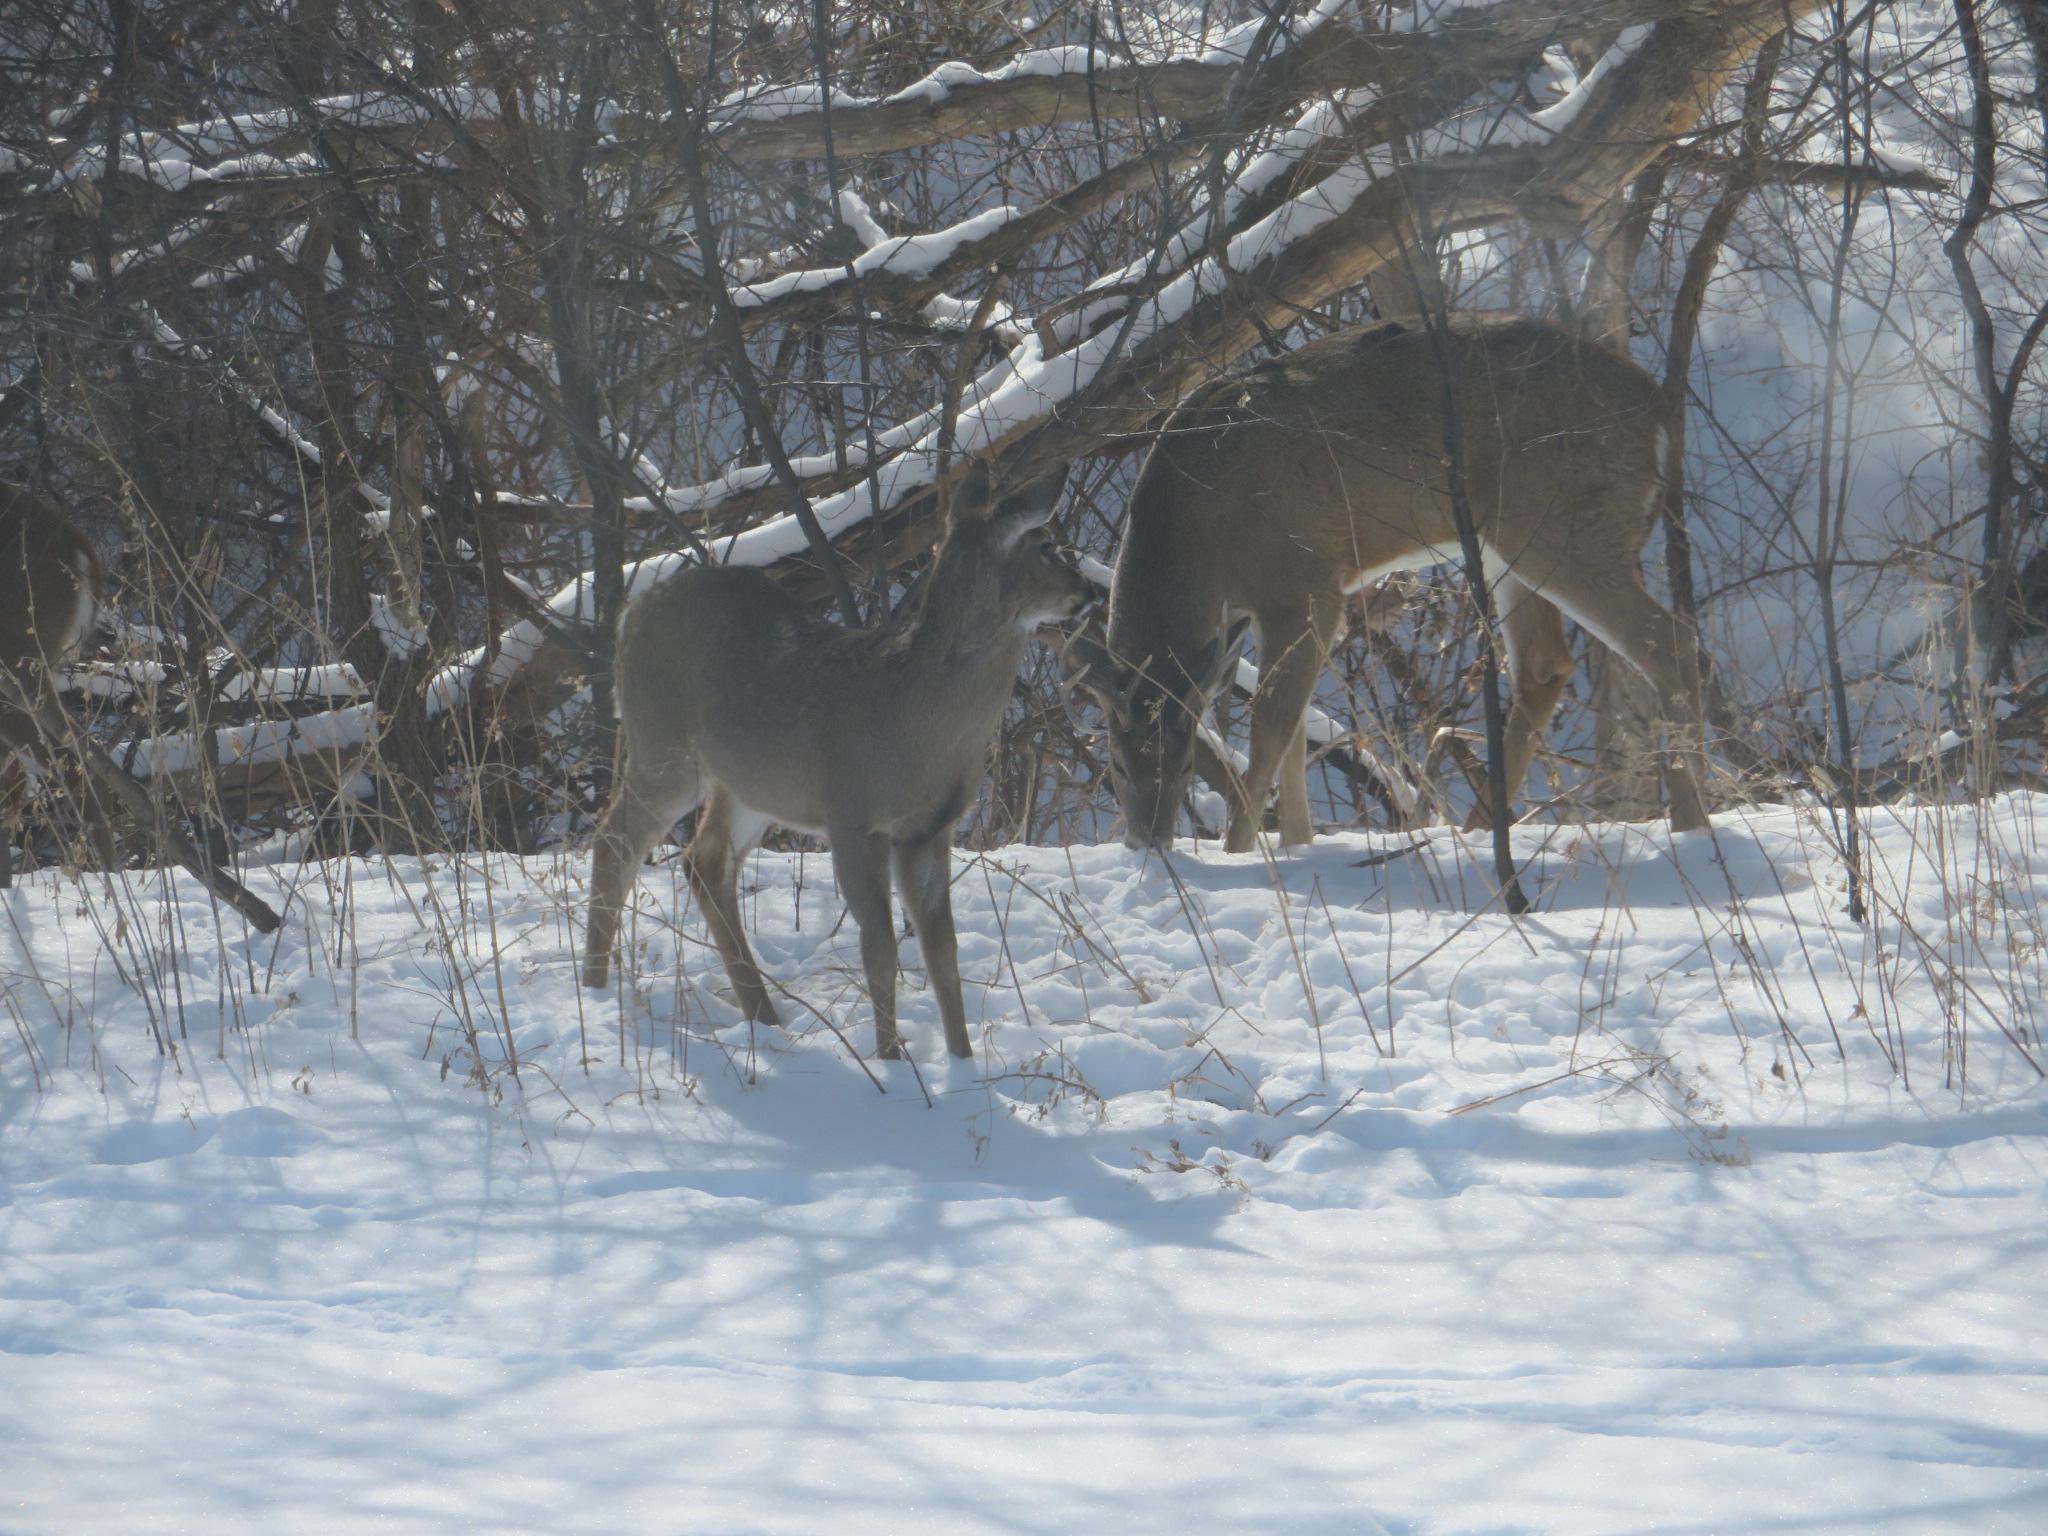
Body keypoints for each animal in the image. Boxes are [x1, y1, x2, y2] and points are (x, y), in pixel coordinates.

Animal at [582, 461, 1092, 1062]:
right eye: (1045, 544)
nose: (1086, 591)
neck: (917, 717)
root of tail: (629, 614)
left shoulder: (929, 829)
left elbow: (942, 947)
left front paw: (962, 1059)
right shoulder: (852, 814)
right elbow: (880, 945)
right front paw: (892, 1058)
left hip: (749, 783)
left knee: (703, 861)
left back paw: (764, 1017)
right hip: (663, 745)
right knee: (615, 840)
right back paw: (594, 991)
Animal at [1067, 312, 1711, 853]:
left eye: (1183, 765)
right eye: (1117, 765)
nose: (1148, 842)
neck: (1200, 529)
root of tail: (1658, 411)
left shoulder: (1304, 579)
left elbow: (1272, 722)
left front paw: (1242, 850)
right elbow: (1295, 728)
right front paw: (1299, 845)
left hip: (1565, 528)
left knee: (1668, 640)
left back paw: (1691, 820)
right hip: (1510, 547)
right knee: (1546, 662)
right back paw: (1480, 830)